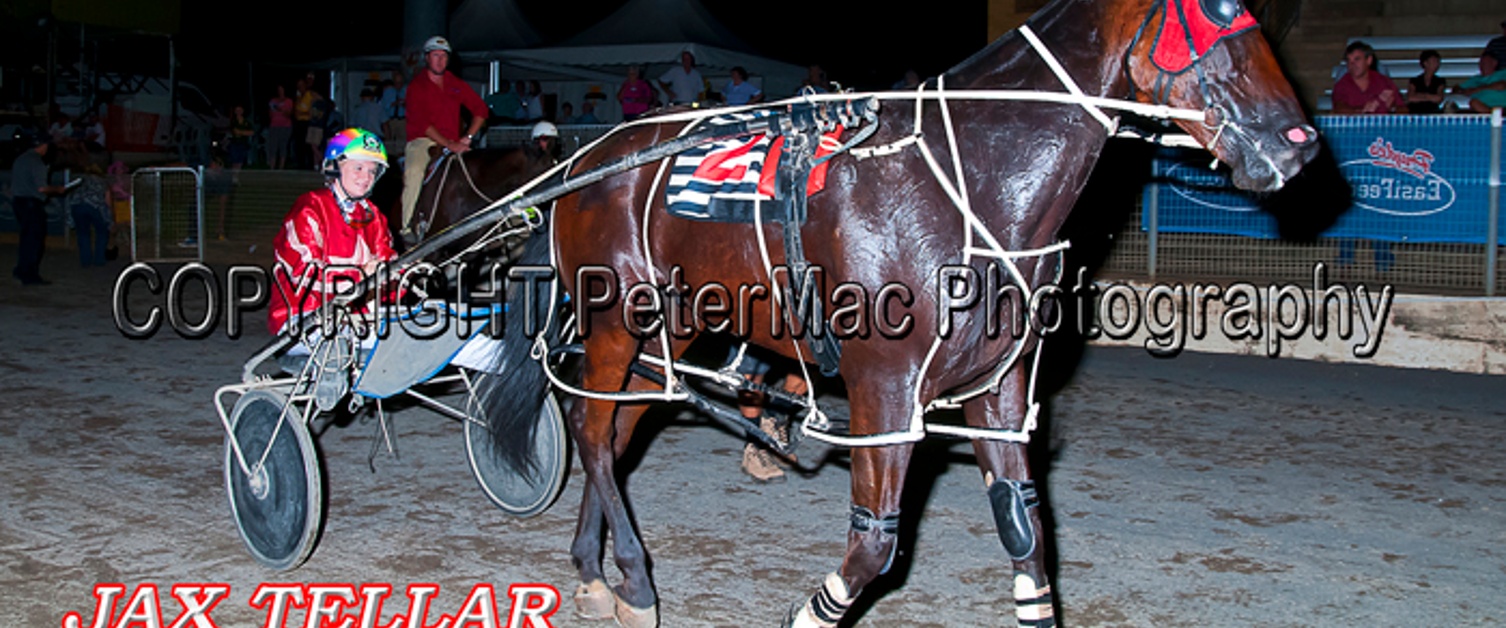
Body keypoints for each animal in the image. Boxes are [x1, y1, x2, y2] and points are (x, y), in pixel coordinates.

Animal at [475, 0, 1313, 620]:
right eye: (1212, 20)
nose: (1299, 143)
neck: (971, 185)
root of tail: (588, 159)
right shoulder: (885, 391)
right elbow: (874, 546)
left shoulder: (998, 389)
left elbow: (1025, 530)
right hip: (618, 320)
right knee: (589, 429)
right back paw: (631, 575)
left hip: (670, 334)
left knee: (613, 435)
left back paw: (594, 570)